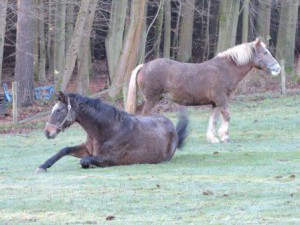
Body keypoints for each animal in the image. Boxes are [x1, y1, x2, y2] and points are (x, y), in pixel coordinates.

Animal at [35, 91, 188, 172]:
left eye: (59, 110)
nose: (47, 132)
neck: (109, 130)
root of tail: (172, 127)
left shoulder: (111, 158)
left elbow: (85, 160)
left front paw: (90, 164)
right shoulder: (87, 149)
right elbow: (64, 150)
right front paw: (43, 166)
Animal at [125, 38, 280, 143]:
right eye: (265, 52)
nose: (278, 68)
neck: (224, 69)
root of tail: (145, 65)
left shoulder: (215, 103)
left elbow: (213, 119)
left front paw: (213, 138)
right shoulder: (221, 99)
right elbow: (226, 116)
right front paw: (224, 137)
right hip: (152, 99)